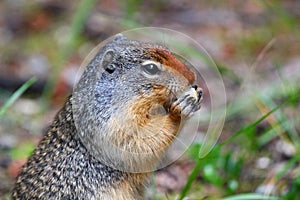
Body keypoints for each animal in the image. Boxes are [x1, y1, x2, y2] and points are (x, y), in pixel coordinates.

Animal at [12, 33, 203, 199]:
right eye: (151, 68)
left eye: (166, 49)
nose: (192, 76)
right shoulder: (114, 126)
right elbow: (142, 140)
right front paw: (181, 110)